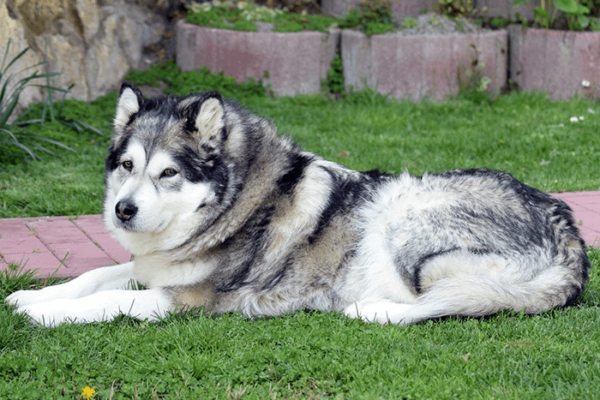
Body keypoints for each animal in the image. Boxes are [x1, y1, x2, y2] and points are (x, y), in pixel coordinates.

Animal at [5, 83, 592, 326]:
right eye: (127, 166)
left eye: (168, 173)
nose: (122, 211)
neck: (234, 206)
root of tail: (567, 228)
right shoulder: (152, 268)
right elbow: (95, 275)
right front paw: (31, 296)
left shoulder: (190, 299)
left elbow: (108, 300)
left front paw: (47, 315)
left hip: (404, 222)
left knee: (452, 302)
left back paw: (369, 310)